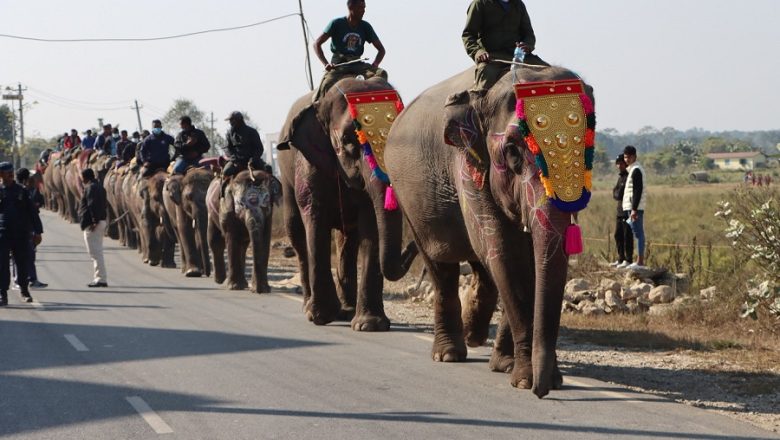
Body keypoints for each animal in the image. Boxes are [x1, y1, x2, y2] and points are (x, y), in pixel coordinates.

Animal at [278, 76, 418, 330]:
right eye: (348, 141)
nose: (412, 245)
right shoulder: (309, 162)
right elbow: (315, 219)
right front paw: (321, 317)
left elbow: (371, 225)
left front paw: (369, 326)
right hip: (286, 178)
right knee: (298, 235)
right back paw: (310, 307)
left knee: (347, 240)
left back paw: (347, 311)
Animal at [380, 65, 596, 398]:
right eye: (513, 153)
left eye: (587, 152)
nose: (542, 391)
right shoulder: (468, 164)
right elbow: (505, 254)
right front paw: (525, 380)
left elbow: (525, 263)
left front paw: (527, 373)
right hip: (408, 200)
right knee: (442, 267)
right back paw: (449, 353)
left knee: (482, 268)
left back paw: (480, 340)